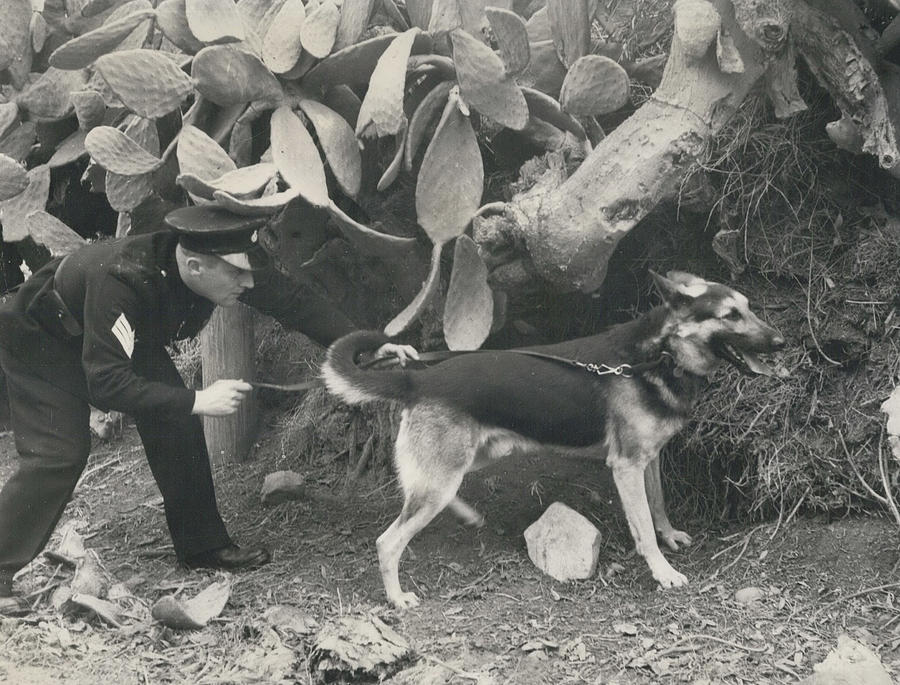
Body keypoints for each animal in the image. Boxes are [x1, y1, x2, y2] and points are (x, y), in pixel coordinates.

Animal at [320, 270, 784, 608]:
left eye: (748, 308)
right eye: (729, 315)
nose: (781, 341)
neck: (658, 355)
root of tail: (417, 379)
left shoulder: (649, 460)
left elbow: (658, 506)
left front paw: (670, 536)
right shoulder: (626, 466)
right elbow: (643, 529)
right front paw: (662, 570)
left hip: (472, 458)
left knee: (424, 496)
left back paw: (467, 515)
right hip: (443, 475)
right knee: (389, 541)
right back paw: (397, 598)